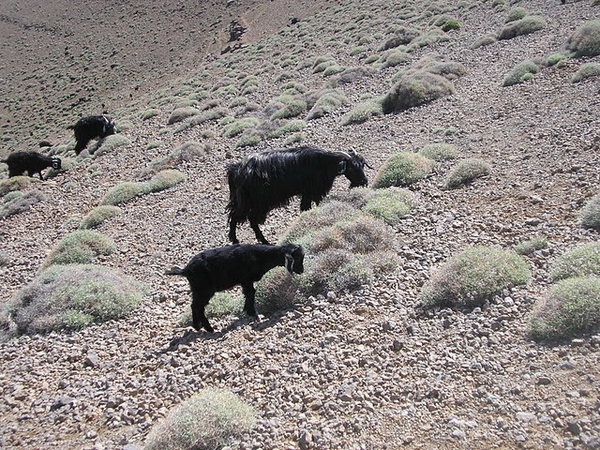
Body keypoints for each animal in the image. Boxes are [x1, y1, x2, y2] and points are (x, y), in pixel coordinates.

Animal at [166, 244, 304, 332]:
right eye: (297, 258)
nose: (302, 270)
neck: (260, 256)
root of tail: (186, 270)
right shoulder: (246, 279)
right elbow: (251, 293)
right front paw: (254, 314)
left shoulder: (246, 281)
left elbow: (249, 294)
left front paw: (248, 311)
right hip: (204, 289)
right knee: (198, 306)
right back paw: (208, 328)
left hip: (197, 289)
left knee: (194, 305)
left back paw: (197, 326)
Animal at [227, 146, 370, 244]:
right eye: (351, 167)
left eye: (362, 165)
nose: (364, 181)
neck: (323, 162)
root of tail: (236, 170)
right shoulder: (311, 191)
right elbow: (308, 206)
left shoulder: (311, 193)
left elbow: (308, 207)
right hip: (255, 201)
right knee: (242, 217)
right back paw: (246, 240)